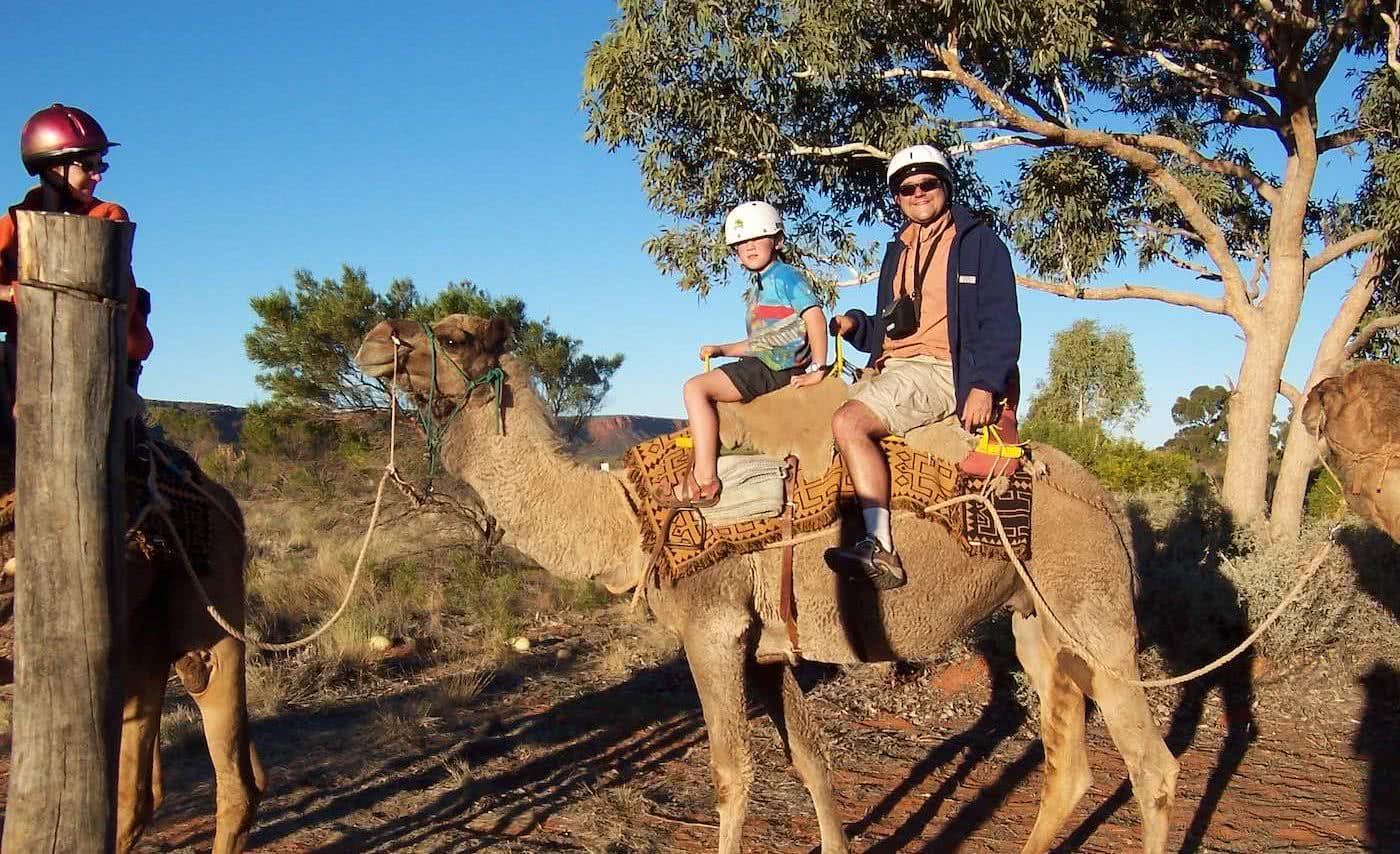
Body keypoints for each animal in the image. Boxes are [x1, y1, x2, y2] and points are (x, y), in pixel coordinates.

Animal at [355, 314, 1179, 854]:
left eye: (457, 336)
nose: (373, 339)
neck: (627, 514)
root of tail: (1108, 502)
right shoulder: (766, 641)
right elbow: (810, 762)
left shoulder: (712, 626)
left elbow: (731, 771)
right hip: (1037, 621)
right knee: (1070, 763)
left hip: (1094, 610)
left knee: (1153, 766)